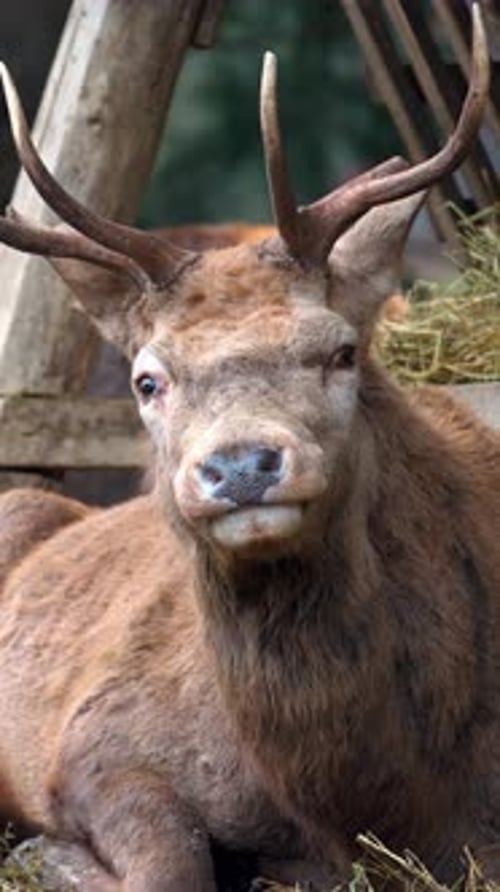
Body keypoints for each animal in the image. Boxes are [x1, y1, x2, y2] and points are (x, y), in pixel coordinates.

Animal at [0, 4, 498, 890]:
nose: (239, 467)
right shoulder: (94, 739)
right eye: (147, 379)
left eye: (342, 351)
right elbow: (172, 865)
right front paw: (54, 853)